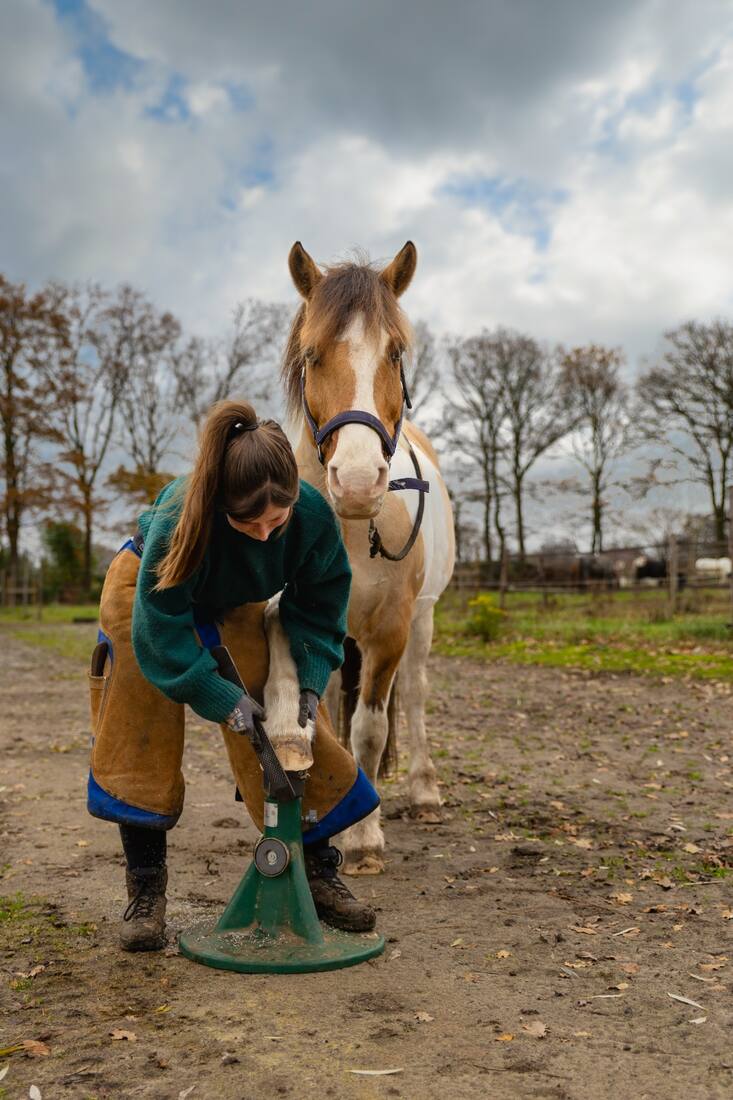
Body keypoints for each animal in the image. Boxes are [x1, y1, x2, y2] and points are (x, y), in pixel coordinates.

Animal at [281, 241, 455, 874]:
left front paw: (363, 839)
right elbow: (318, 725)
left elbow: (373, 729)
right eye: (311, 354)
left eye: (396, 351)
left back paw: (424, 792)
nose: (357, 482)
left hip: (423, 622)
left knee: (415, 696)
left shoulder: (390, 629)